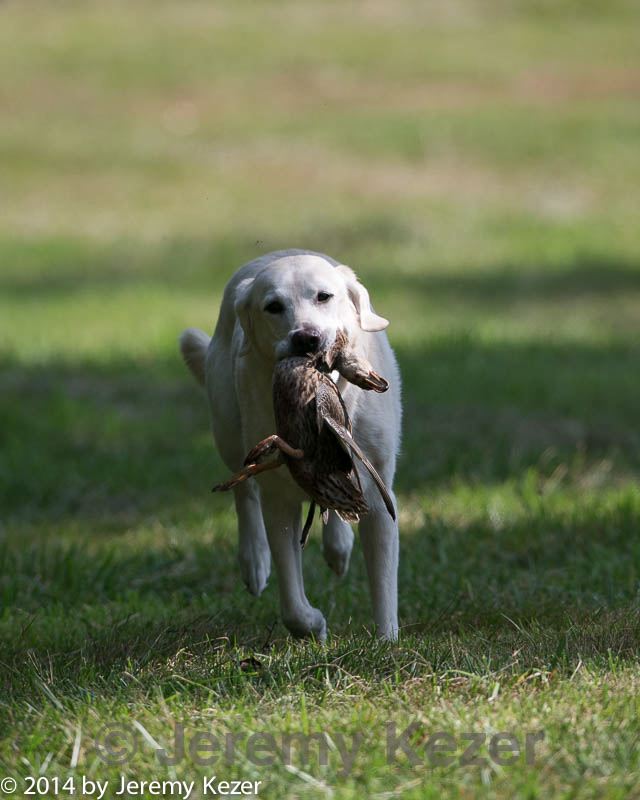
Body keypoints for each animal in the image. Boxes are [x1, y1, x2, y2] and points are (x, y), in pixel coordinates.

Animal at [180, 253, 400, 640]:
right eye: (273, 306)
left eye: (324, 296)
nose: (306, 338)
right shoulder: (279, 499)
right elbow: (292, 600)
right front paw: (312, 626)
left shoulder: (377, 494)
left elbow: (383, 582)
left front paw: (388, 643)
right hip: (227, 429)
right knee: (244, 492)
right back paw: (253, 560)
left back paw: (338, 545)